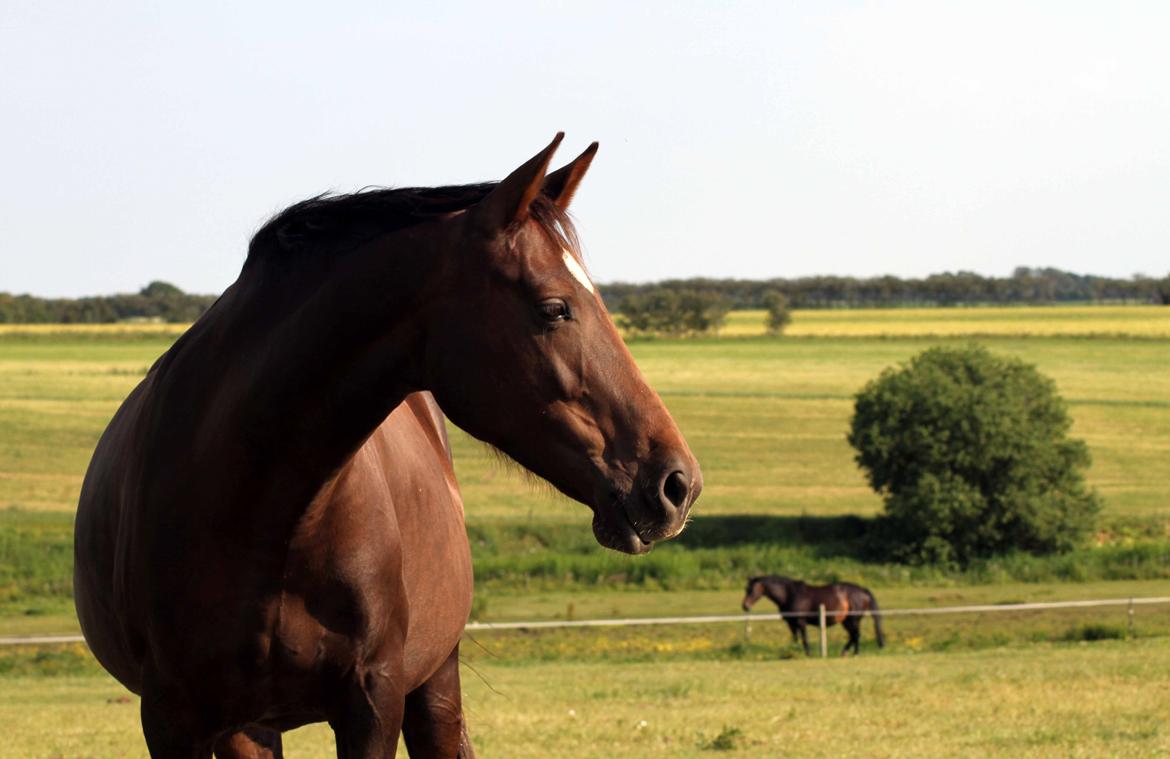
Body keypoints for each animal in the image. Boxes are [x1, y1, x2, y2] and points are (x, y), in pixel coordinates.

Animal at [75, 136, 702, 757]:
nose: (678, 483)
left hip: (435, 683)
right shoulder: (171, 718)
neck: (257, 508)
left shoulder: (373, 703)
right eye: (554, 307)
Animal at [744, 570, 879, 654]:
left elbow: (805, 640)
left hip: (853, 620)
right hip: (846, 621)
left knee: (856, 635)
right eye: (746, 589)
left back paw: (854, 653)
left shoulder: (801, 622)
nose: (745, 606)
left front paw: (807, 654)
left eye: (751, 590)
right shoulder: (791, 624)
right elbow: (795, 639)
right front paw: (793, 651)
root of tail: (863, 591)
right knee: (853, 636)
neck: (789, 594)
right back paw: (844, 652)